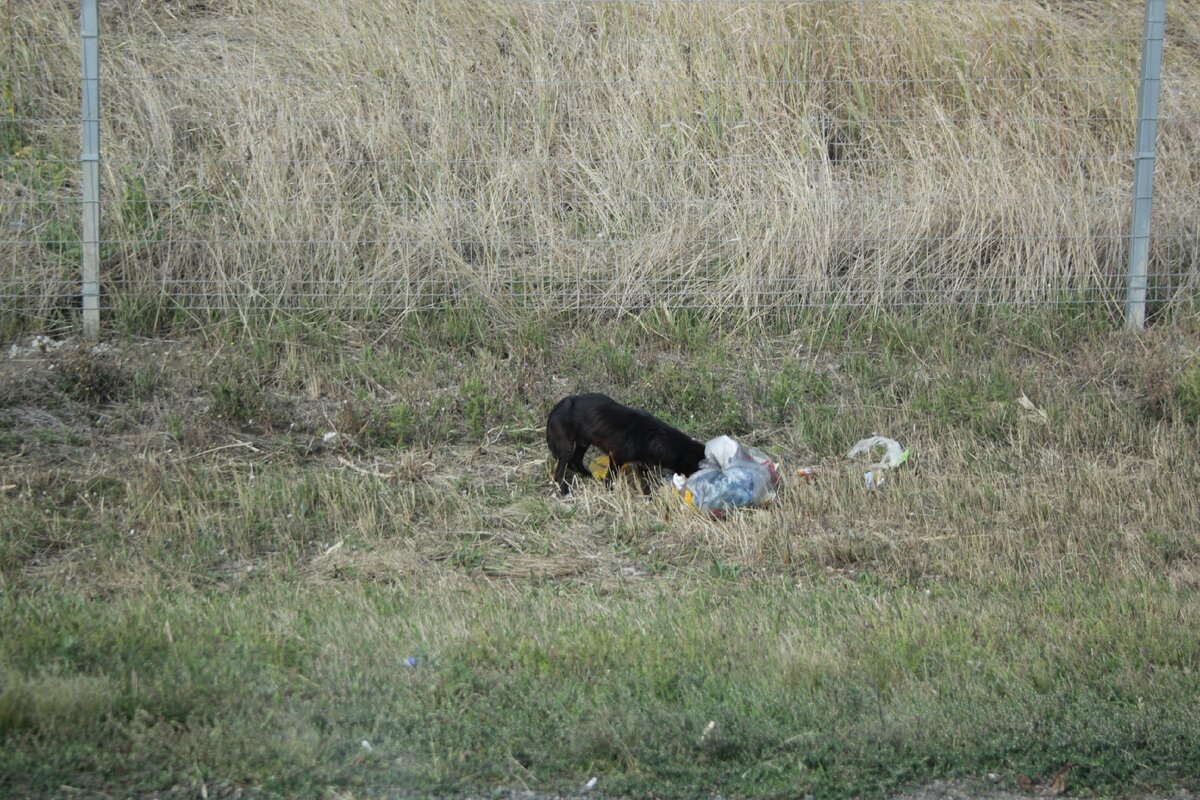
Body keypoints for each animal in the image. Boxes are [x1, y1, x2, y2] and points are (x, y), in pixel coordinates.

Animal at [544, 393, 700, 494]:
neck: (655, 437)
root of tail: (555, 408)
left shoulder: (642, 467)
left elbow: (646, 486)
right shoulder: (616, 458)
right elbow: (611, 478)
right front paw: (609, 491)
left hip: (583, 443)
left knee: (576, 461)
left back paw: (590, 476)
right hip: (566, 449)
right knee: (559, 472)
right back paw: (564, 490)